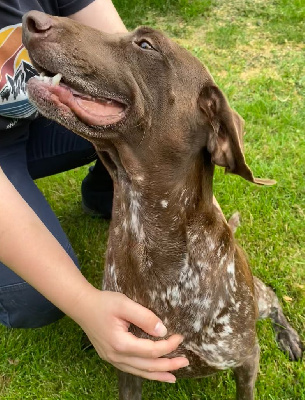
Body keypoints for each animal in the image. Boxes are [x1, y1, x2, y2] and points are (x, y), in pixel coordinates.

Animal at [22, 10, 302, 398]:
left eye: (145, 45)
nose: (32, 20)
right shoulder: (129, 364)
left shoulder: (246, 359)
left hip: (259, 303)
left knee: (274, 302)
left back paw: (288, 336)